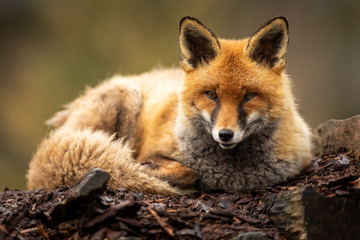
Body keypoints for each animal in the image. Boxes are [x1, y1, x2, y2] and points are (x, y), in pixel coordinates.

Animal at [26, 15, 312, 194]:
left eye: (249, 96)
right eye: (211, 95)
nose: (225, 134)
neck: (232, 174)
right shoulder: (153, 151)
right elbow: (185, 172)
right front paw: (148, 172)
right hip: (126, 98)